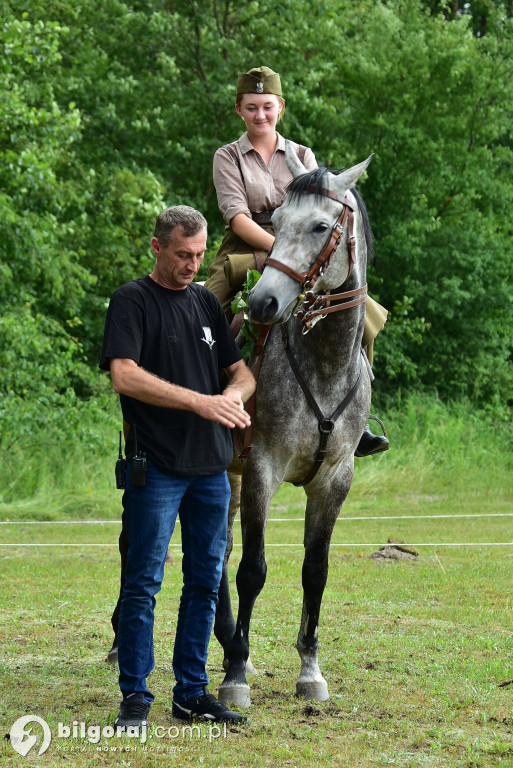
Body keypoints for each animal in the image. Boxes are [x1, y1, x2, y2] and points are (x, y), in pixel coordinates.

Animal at [214, 146, 374, 708]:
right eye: (277, 222)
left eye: (321, 225)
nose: (263, 303)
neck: (324, 364)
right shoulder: (263, 470)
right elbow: (254, 570)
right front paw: (234, 679)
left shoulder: (334, 480)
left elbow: (315, 571)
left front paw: (309, 669)